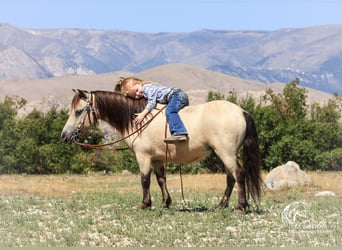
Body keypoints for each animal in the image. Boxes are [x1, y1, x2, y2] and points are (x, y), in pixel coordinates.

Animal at [60, 90, 262, 211]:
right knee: (231, 178)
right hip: (225, 154)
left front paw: (144, 204)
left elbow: (145, 180)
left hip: (226, 153)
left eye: (78, 111)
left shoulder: (143, 157)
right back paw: (221, 205)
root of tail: (241, 111)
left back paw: (241, 206)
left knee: (239, 174)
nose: (64, 136)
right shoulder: (156, 158)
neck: (137, 120)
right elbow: (160, 180)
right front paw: (165, 203)